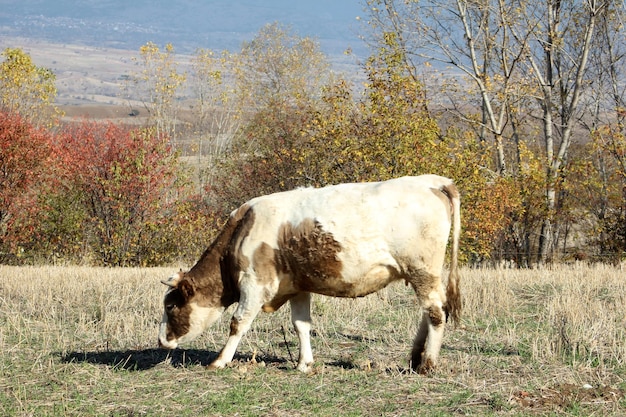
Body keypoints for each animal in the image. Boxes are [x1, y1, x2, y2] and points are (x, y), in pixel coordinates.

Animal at [156, 174, 458, 372]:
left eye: (170, 306)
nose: (161, 341)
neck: (243, 229)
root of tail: (433, 180)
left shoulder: (255, 285)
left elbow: (238, 322)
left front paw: (219, 361)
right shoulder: (297, 287)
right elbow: (301, 325)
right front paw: (304, 364)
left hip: (422, 271)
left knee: (435, 313)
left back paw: (427, 364)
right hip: (422, 275)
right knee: (431, 312)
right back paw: (416, 358)